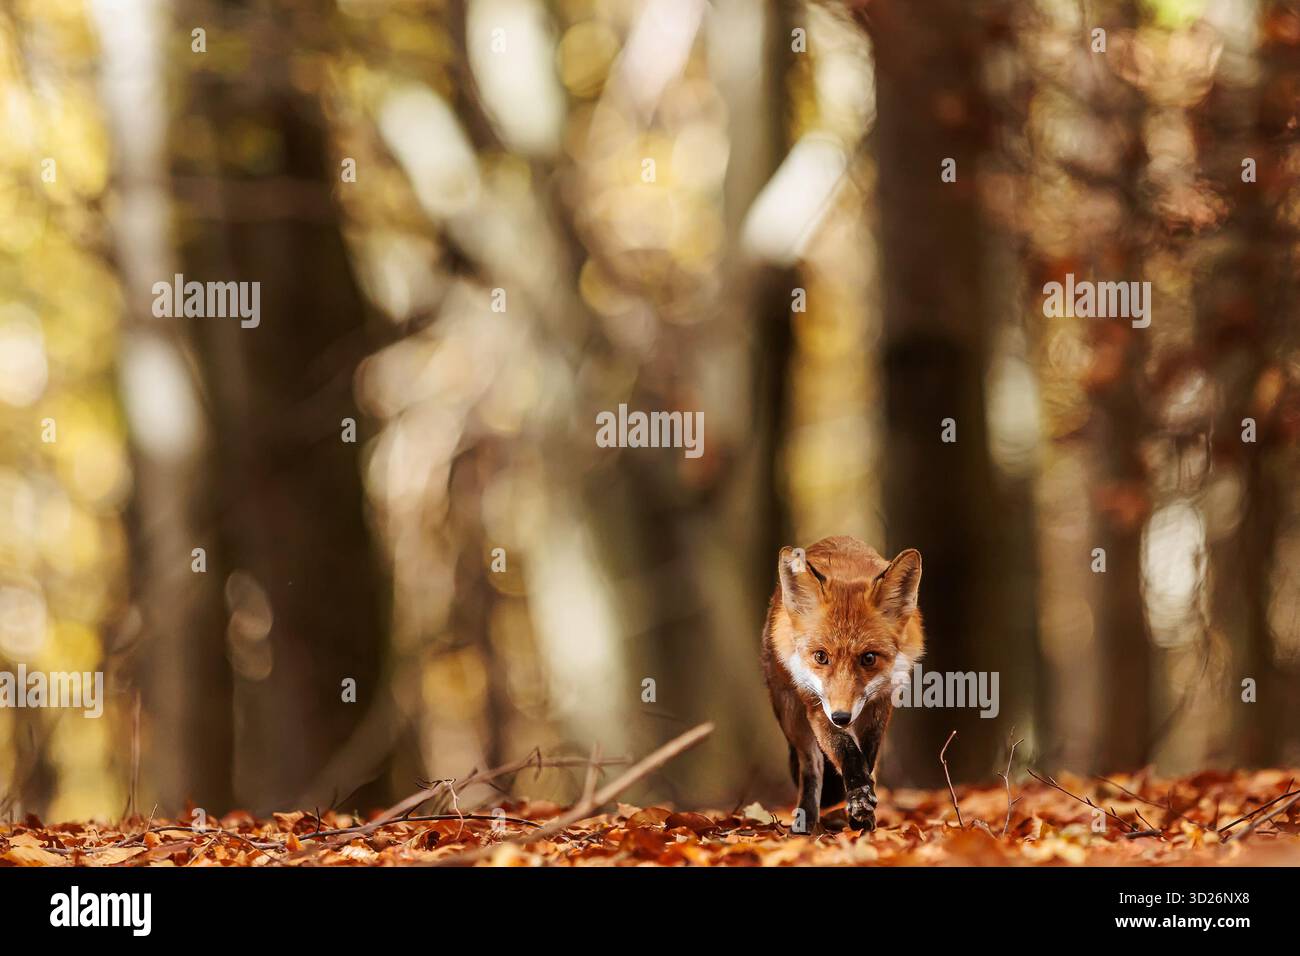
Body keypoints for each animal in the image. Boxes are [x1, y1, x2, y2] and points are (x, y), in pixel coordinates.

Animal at [761, 535, 924, 834]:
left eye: (869, 658)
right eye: (821, 657)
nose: (841, 716)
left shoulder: (881, 702)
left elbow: (866, 757)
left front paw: (862, 810)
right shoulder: (817, 706)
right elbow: (845, 749)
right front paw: (859, 798)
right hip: (791, 713)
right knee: (811, 768)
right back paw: (805, 821)